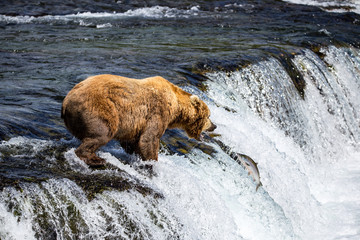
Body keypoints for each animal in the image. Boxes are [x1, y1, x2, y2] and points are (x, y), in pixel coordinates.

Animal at [61, 74, 217, 166]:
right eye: (209, 115)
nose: (214, 126)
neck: (176, 106)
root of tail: (66, 101)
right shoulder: (157, 111)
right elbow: (149, 139)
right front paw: (153, 161)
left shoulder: (135, 125)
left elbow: (134, 141)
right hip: (100, 108)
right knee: (101, 133)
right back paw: (95, 159)